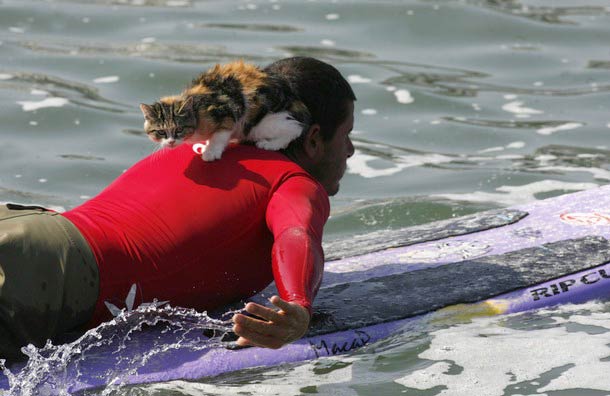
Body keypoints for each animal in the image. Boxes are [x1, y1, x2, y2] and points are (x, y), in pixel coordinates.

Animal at [138, 60, 308, 161]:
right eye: (160, 132)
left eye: (179, 129)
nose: (171, 141)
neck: (196, 113)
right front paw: (206, 145)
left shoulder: (227, 114)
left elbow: (220, 135)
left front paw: (211, 152)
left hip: (263, 124)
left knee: (295, 128)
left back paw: (270, 144)